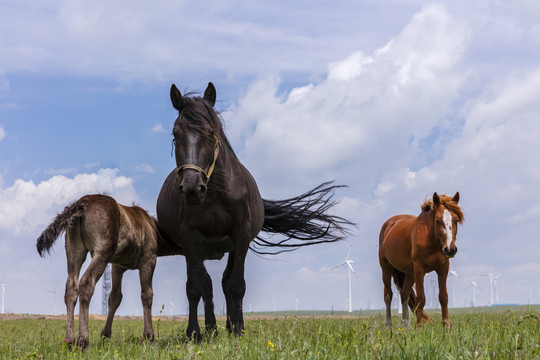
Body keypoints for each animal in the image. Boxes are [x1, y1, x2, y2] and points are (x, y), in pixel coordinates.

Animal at [156, 82, 352, 340]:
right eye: (175, 134)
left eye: (211, 132)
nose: (191, 188)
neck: (215, 194)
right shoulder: (189, 239)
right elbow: (195, 287)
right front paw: (194, 333)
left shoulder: (241, 236)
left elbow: (236, 284)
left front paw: (238, 330)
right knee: (206, 285)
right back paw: (211, 329)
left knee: (224, 282)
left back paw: (228, 327)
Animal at [380, 193, 464, 328]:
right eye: (437, 220)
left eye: (456, 220)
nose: (450, 250)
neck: (431, 240)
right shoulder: (419, 269)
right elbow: (421, 298)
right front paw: (419, 326)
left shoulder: (443, 267)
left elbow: (443, 296)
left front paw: (446, 324)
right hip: (386, 269)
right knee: (388, 295)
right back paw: (388, 325)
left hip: (409, 273)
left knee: (404, 294)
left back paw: (405, 324)